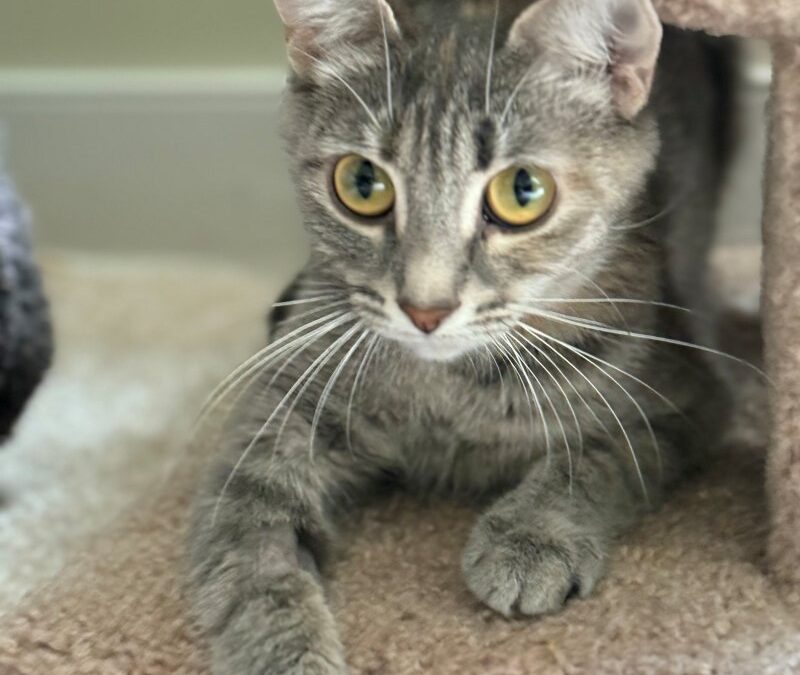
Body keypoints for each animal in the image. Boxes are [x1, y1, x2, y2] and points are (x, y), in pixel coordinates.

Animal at [188, 1, 736, 673]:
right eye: (362, 183)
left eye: (524, 190)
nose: (425, 308)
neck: (450, 392)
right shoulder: (277, 418)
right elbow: (249, 557)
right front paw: (285, 652)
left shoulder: (685, 396)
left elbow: (600, 457)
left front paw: (530, 537)